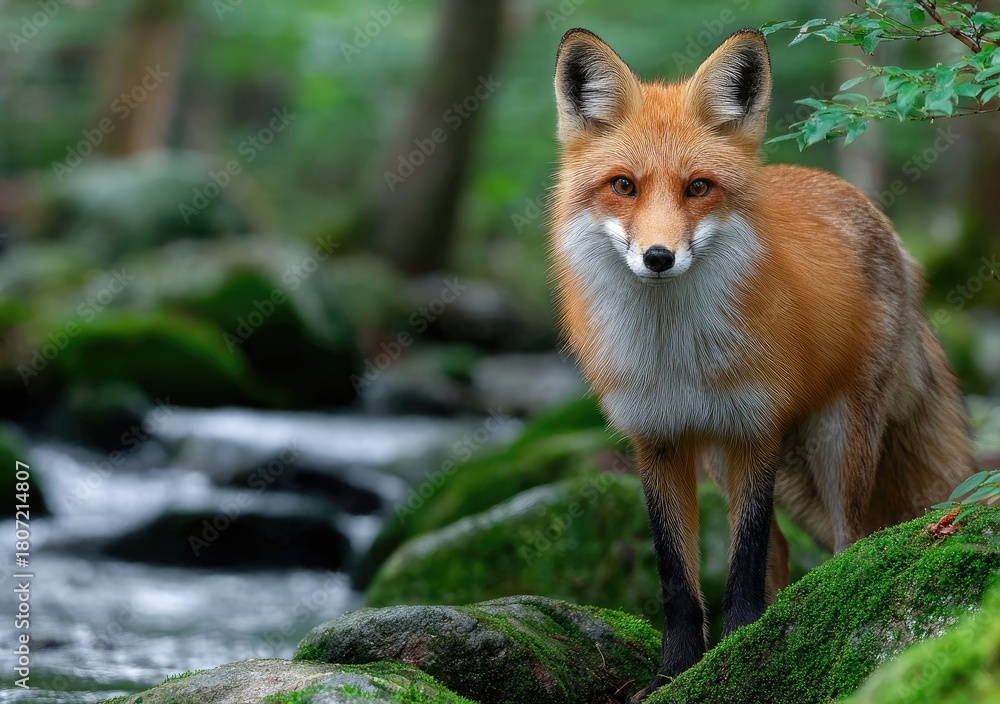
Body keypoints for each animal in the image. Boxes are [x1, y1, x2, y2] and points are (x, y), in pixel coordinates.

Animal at [548, 27, 974, 700]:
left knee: (851, 538)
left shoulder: (756, 427)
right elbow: (678, 577)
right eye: (623, 185)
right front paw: (676, 671)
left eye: (698, 187)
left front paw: (742, 652)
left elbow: (743, 567)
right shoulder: (658, 438)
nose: (659, 257)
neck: (678, 353)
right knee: (780, 554)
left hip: (837, 444)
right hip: (727, 461)